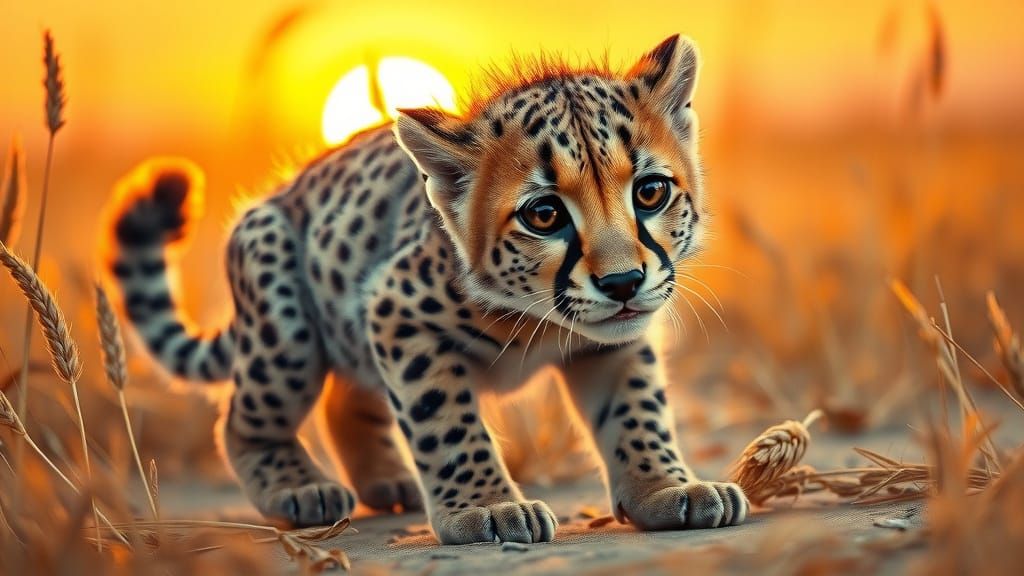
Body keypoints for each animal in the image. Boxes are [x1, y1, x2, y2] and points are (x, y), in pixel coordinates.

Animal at [103, 34, 748, 545]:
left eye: (650, 192)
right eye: (544, 216)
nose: (622, 282)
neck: (536, 319)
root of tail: (276, 198)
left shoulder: (613, 342)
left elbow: (638, 412)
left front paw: (666, 488)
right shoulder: (396, 313)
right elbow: (447, 421)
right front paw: (488, 507)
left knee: (344, 402)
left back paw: (390, 482)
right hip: (284, 331)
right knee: (241, 419)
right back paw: (300, 489)